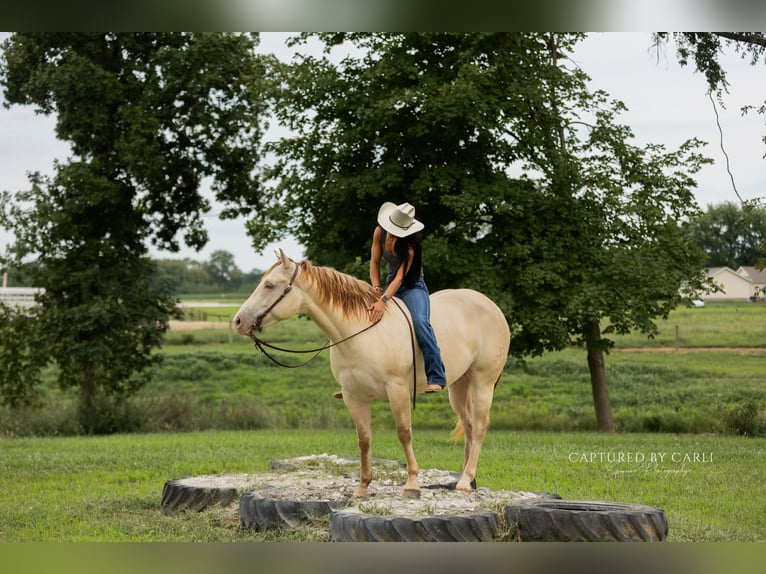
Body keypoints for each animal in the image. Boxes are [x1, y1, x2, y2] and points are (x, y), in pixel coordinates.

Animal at [233, 250, 510, 498]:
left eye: (269, 285)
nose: (238, 321)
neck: (361, 331)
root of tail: (491, 306)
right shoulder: (353, 396)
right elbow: (364, 439)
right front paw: (363, 487)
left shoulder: (397, 390)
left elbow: (404, 432)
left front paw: (412, 484)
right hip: (458, 385)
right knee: (470, 426)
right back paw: (467, 480)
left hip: (483, 381)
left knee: (481, 426)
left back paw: (464, 481)